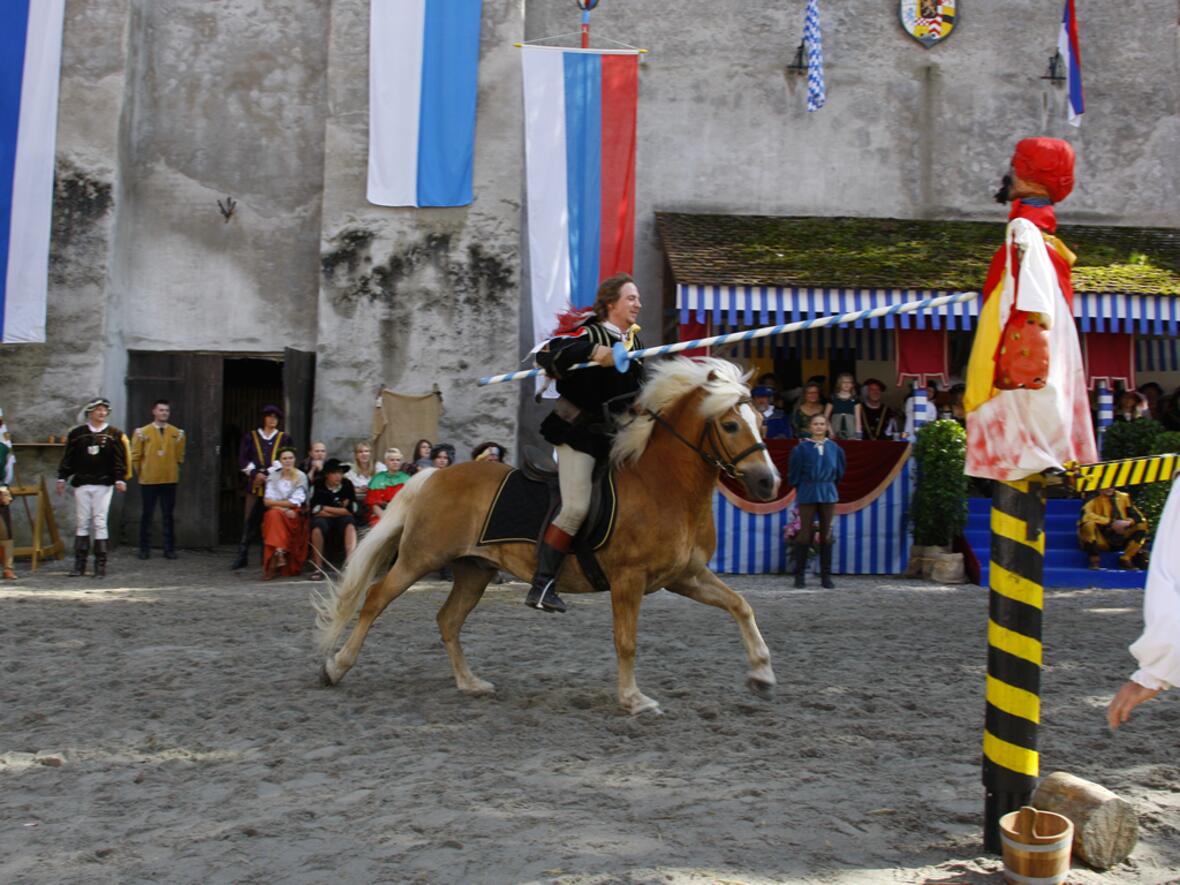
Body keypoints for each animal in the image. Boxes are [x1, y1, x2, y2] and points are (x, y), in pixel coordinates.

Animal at [316, 358, 783, 712]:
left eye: (761, 422)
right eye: (730, 426)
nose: (767, 484)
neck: (663, 485)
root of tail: (433, 475)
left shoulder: (684, 576)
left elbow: (741, 606)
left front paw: (761, 672)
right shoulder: (628, 581)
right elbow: (626, 641)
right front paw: (633, 699)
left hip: (474, 569)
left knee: (448, 619)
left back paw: (470, 683)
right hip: (420, 558)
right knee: (375, 600)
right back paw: (335, 667)